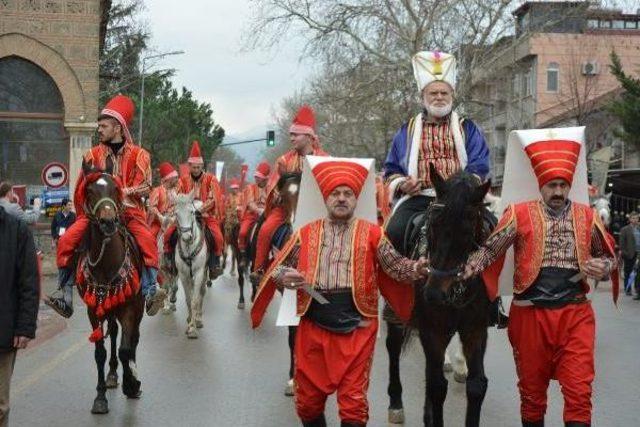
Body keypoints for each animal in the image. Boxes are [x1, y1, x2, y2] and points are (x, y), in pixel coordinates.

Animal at [74, 162, 145, 416]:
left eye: (116, 188)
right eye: (90, 190)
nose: (108, 222)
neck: (106, 262)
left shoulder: (130, 308)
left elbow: (126, 348)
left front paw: (131, 384)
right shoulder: (93, 310)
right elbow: (100, 353)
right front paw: (100, 397)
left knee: (133, 340)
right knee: (113, 334)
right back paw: (113, 375)